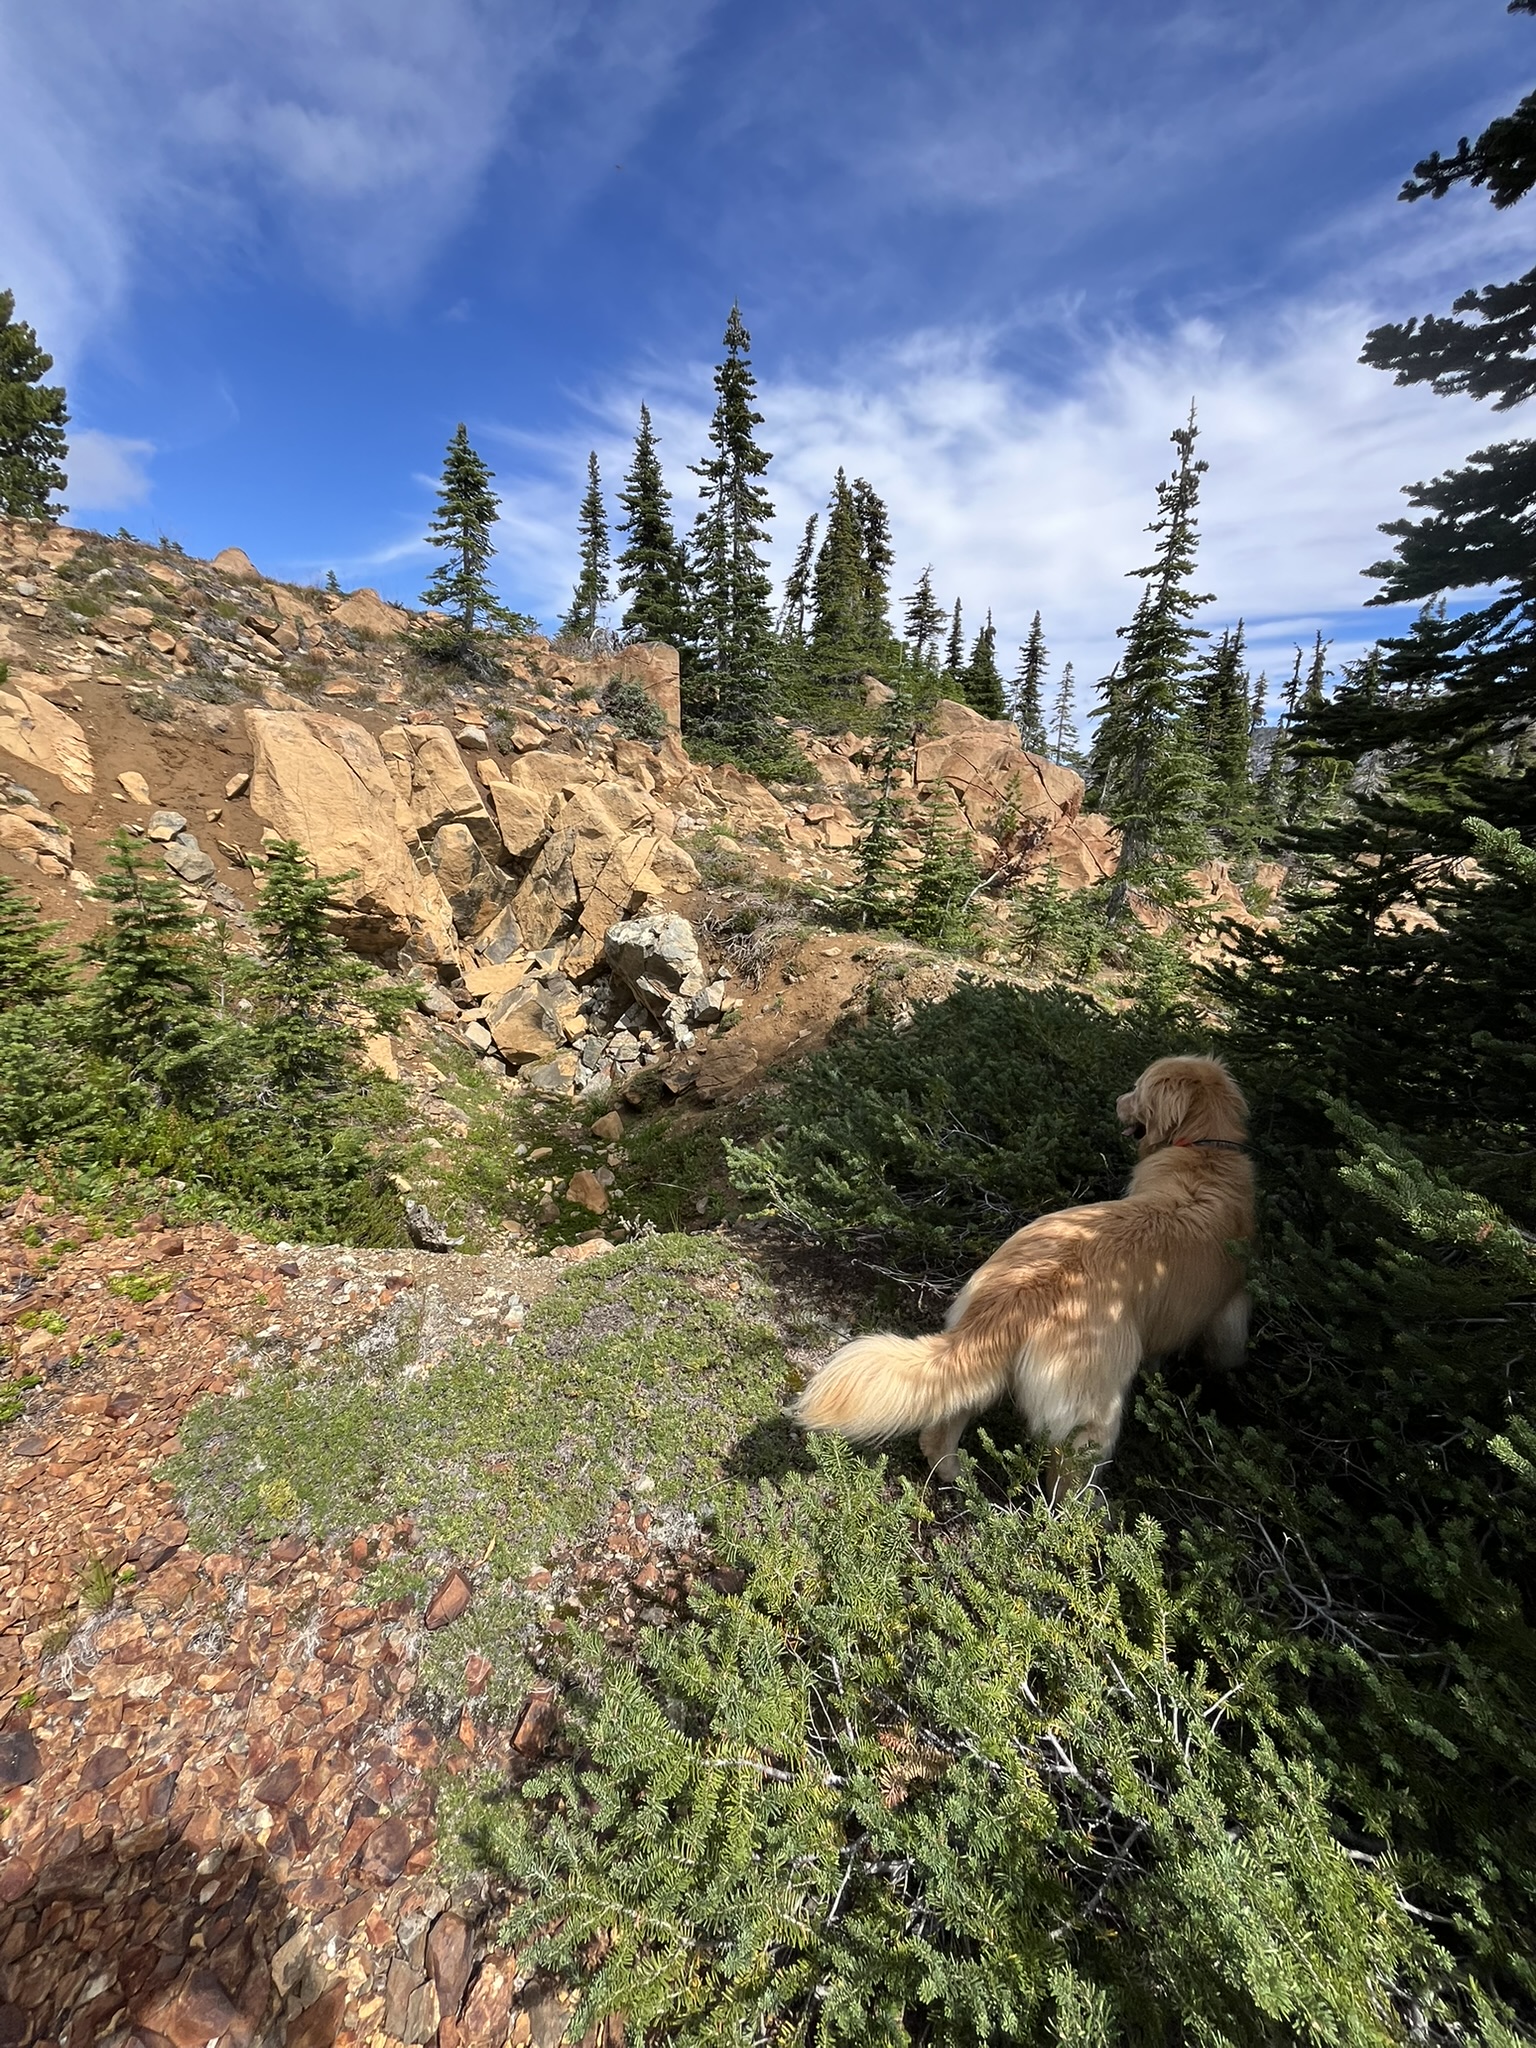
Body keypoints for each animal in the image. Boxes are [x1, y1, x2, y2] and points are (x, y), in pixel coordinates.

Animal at [793, 1055, 1253, 1485]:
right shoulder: (1230, 1309)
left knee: (948, 1417)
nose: (1116, 1102)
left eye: (1137, 1091)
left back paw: (951, 1471)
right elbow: (1225, 1351)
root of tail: (1022, 1293)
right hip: (1093, 1412)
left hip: (983, 1361)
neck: (1205, 1151)